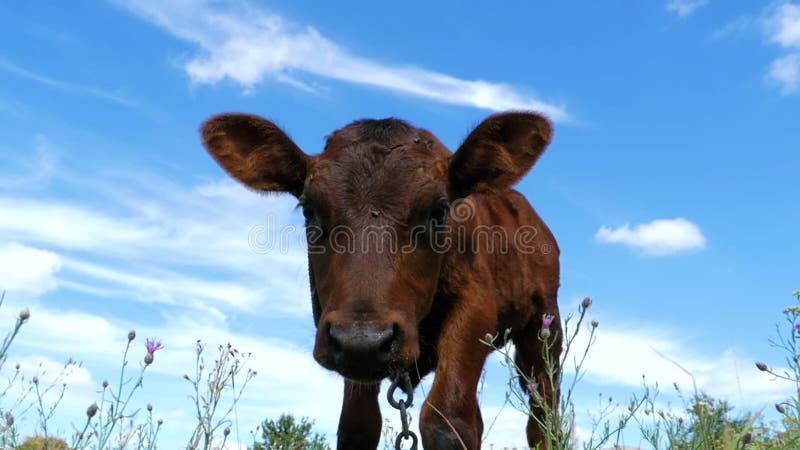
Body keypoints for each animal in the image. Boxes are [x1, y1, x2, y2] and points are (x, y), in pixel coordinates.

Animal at [200, 110, 564, 448]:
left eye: (439, 211)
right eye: (308, 210)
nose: (363, 338)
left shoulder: (477, 307)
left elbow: (446, 419)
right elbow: (358, 425)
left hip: (544, 329)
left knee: (542, 414)